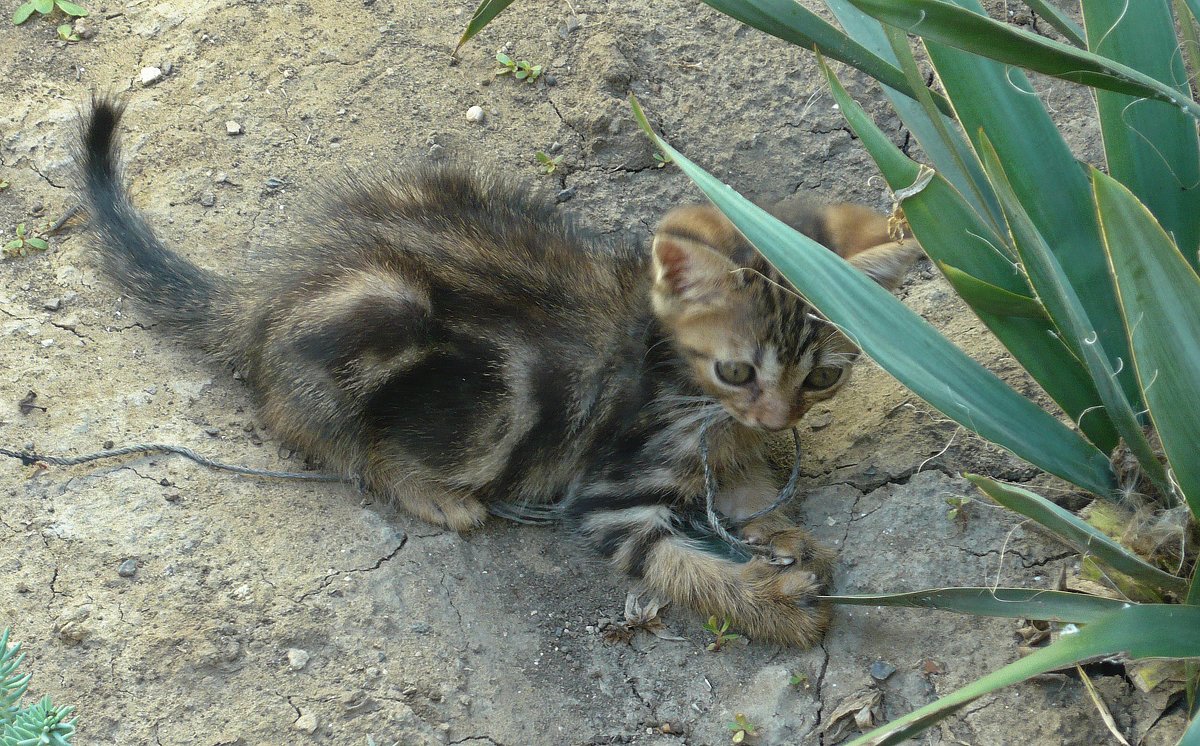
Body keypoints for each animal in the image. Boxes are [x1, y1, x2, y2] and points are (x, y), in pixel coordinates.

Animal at [77, 100, 916, 647]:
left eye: (821, 378)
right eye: (737, 370)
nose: (779, 419)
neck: (685, 388)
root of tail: (268, 290)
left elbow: (745, 489)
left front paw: (786, 536)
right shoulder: (609, 493)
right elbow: (676, 564)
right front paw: (774, 605)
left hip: (440, 185)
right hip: (377, 315)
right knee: (299, 421)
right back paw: (428, 490)